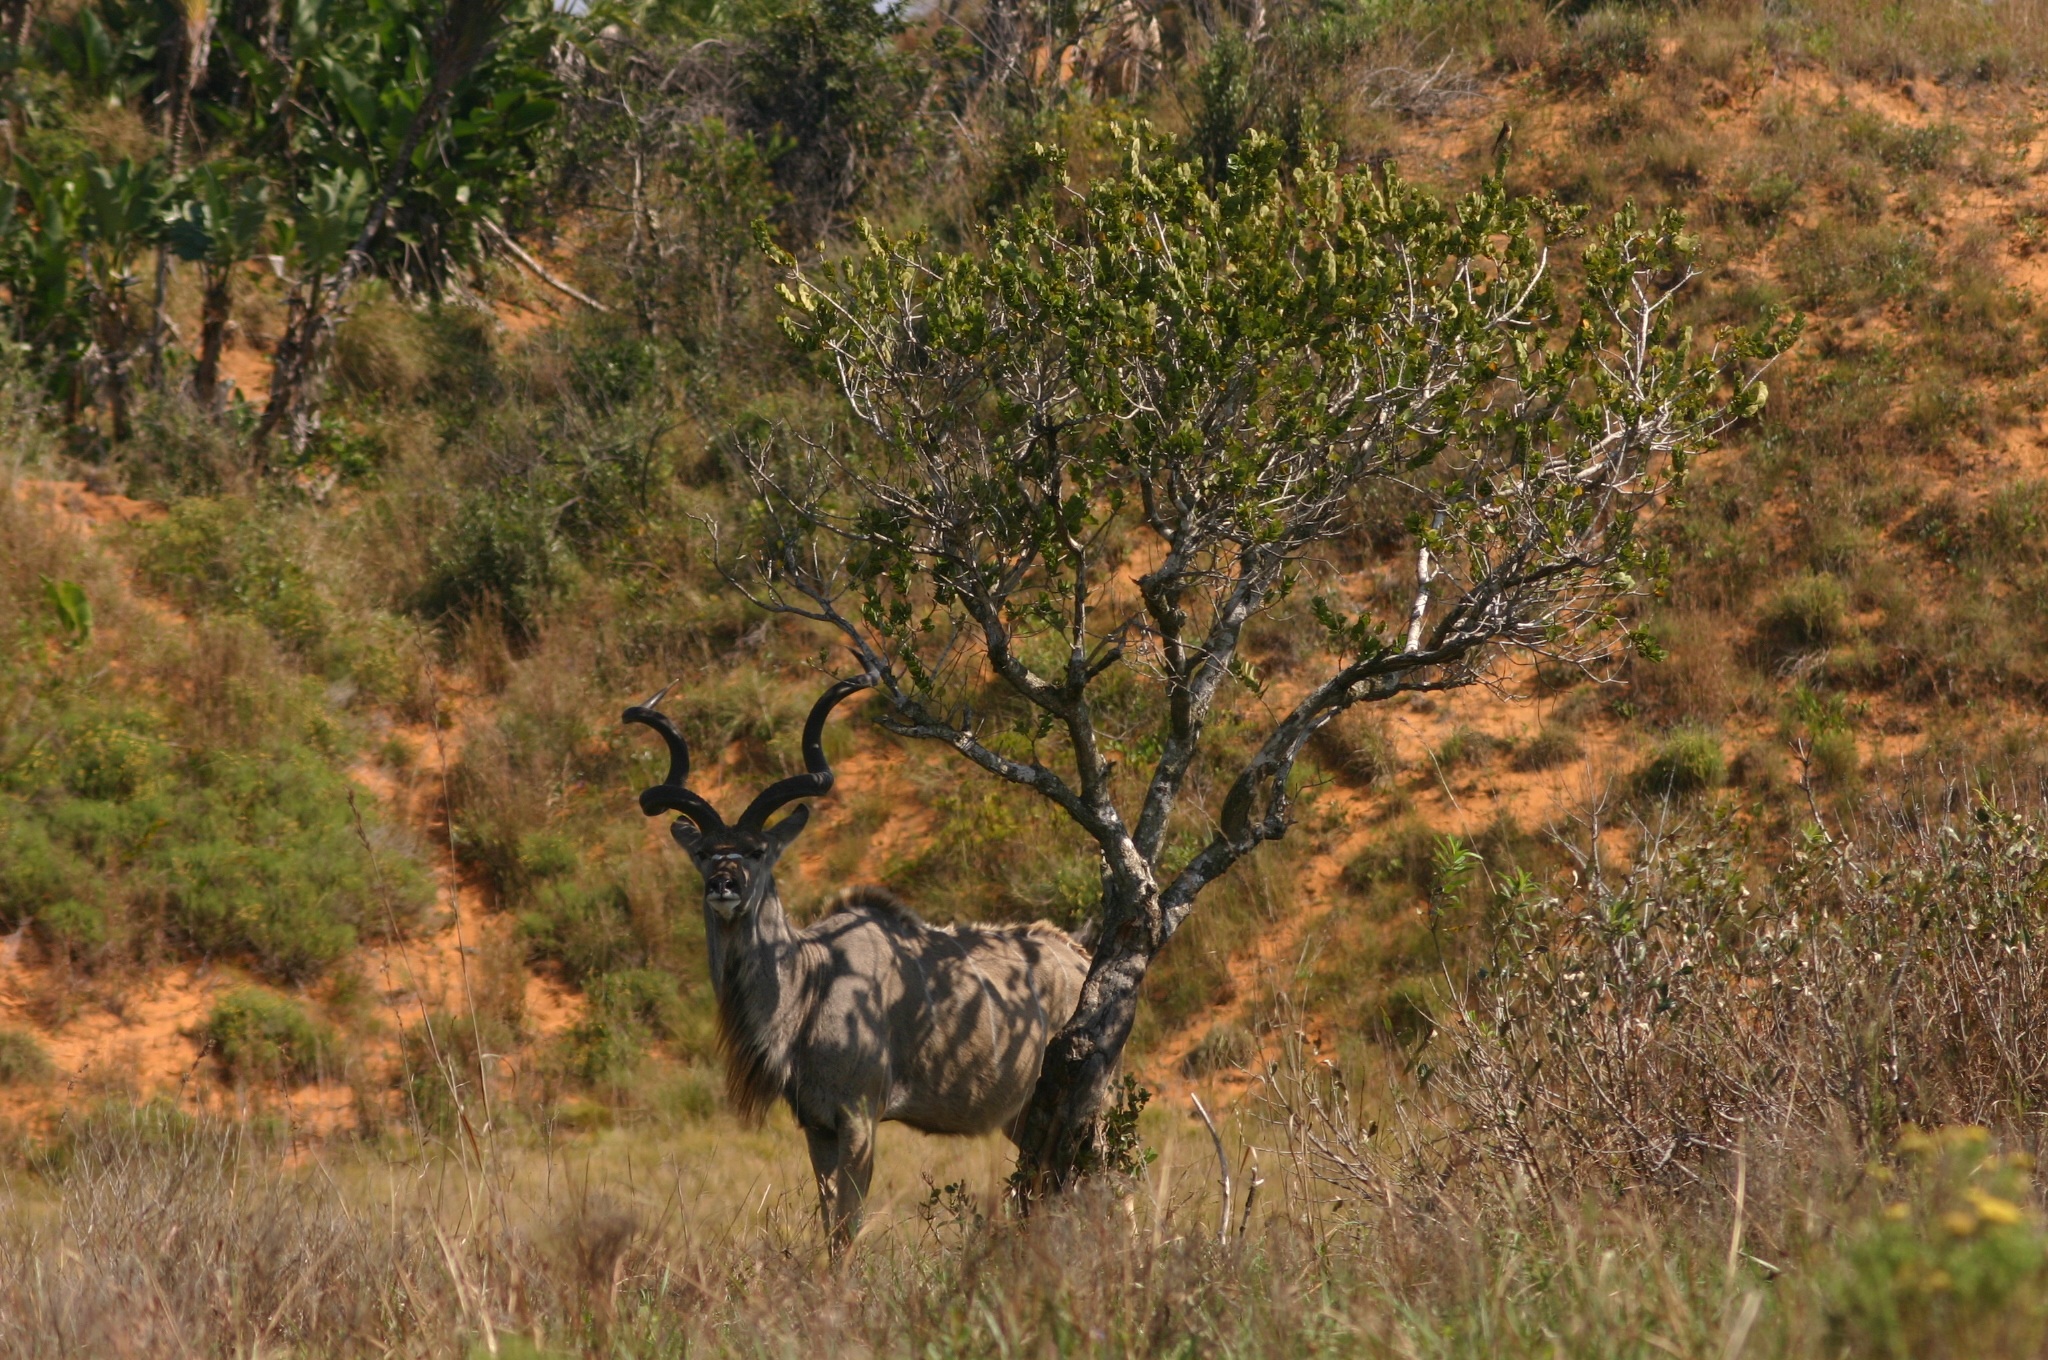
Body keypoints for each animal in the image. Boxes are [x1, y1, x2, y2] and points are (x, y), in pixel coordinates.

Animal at [622, 675, 1097, 1245]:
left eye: (757, 850)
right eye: (703, 853)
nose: (723, 884)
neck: (812, 980)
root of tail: (1080, 956)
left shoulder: (860, 1116)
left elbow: (848, 1226)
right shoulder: (818, 1125)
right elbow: (831, 1225)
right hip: (1024, 1116)